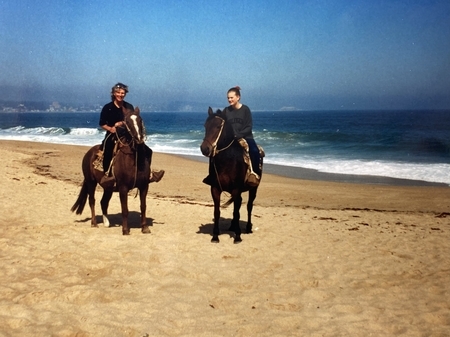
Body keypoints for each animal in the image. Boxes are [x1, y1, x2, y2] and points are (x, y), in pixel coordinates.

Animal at [70, 106, 151, 235]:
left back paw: (106, 223)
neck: (134, 159)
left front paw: (145, 227)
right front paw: (125, 229)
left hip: (108, 187)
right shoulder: (123, 187)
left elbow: (143, 206)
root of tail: (89, 153)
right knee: (92, 200)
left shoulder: (144, 186)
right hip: (91, 182)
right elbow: (125, 209)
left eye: (140, 120)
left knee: (103, 202)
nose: (139, 139)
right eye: (127, 122)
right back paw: (94, 223)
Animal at [201, 106, 264, 243]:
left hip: (254, 188)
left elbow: (237, 212)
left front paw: (238, 236)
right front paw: (215, 236)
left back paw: (247, 228)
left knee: (249, 206)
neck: (228, 160)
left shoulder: (236, 189)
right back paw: (232, 226)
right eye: (205, 125)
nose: (205, 149)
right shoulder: (215, 189)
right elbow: (217, 212)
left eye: (218, 126)